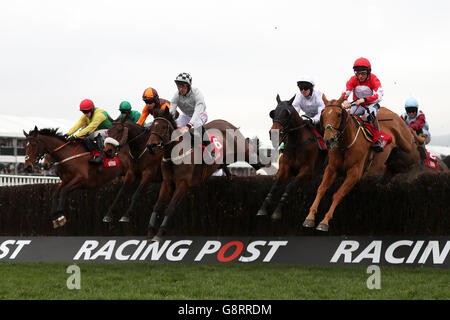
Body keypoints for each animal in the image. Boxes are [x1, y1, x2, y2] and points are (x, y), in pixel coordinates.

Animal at [144, 107, 264, 242]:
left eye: (164, 127)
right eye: (151, 127)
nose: (150, 146)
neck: (175, 155)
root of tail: (226, 123)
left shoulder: (183, 184)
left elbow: (170, 208)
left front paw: (159, 234)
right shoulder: (167, 182)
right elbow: (157, 206)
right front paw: (150, 232)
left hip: (242, 149)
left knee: (251, 152)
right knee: (225, 163)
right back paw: (229, 175)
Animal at [302, 94, 422, 231]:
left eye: (339, 114)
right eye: (323, 114)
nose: (329, 140)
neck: (345, 145)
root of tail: (399, 119)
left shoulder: (355, 173)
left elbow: (338, 194)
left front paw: (325, 221)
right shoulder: (332, 168)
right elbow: (321, 189)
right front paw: (310, 217)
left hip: (407, 147)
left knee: (415, 158)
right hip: (394, 159)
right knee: (390, 172)